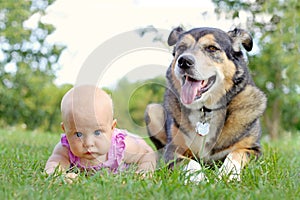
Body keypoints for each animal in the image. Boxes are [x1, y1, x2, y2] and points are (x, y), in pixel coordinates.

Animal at [145, 27, 268, 183]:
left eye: (211, 48)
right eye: (181, 48)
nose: (184, 61)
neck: (205, 110)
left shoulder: (252, 149)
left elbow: (235, 154)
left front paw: (227, 175)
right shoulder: (173, 150)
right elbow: (189, 162)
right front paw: (198, 178)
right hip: (152, 109)